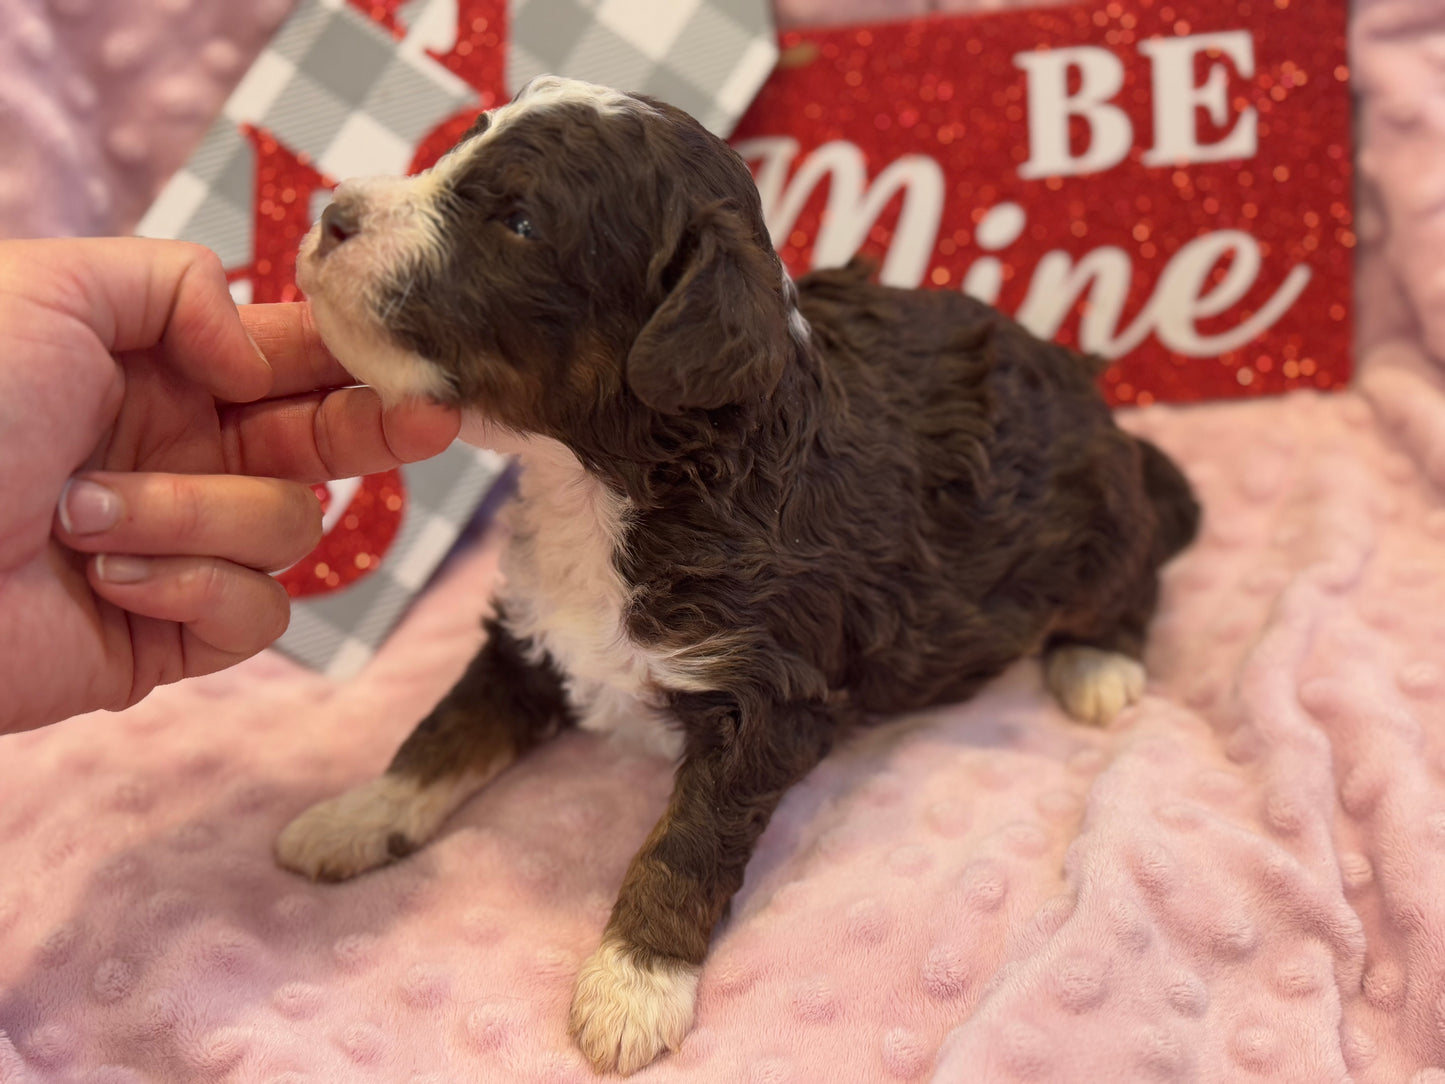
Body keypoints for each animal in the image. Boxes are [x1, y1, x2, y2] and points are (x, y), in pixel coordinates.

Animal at [275, 74, 1202, 1081]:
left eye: (519, 222)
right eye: (455, 148)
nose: (332, 216)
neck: (607, 486)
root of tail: (1094, 396)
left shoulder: (766, 694)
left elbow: (688, 843)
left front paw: (632, 985)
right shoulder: (532, 629)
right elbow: (443, 729)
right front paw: (353, 818)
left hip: (1094, 524)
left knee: (1137, 575)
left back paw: (1097, 666)